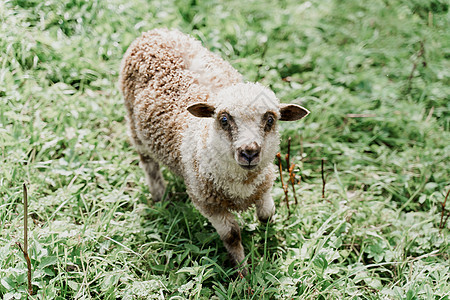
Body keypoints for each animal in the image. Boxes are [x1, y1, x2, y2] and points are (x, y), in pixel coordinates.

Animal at [118, 28, 310, 274]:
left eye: (270, 120)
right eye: (224, 119)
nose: (249, 152)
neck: (241, 184)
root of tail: (152, 32)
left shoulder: (265, 186)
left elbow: (267, 215)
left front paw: (270, 241)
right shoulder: (208, 205)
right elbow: (232, 236)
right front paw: (242, 272)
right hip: (134, 127)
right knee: (148, 164)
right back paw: (161, 197)